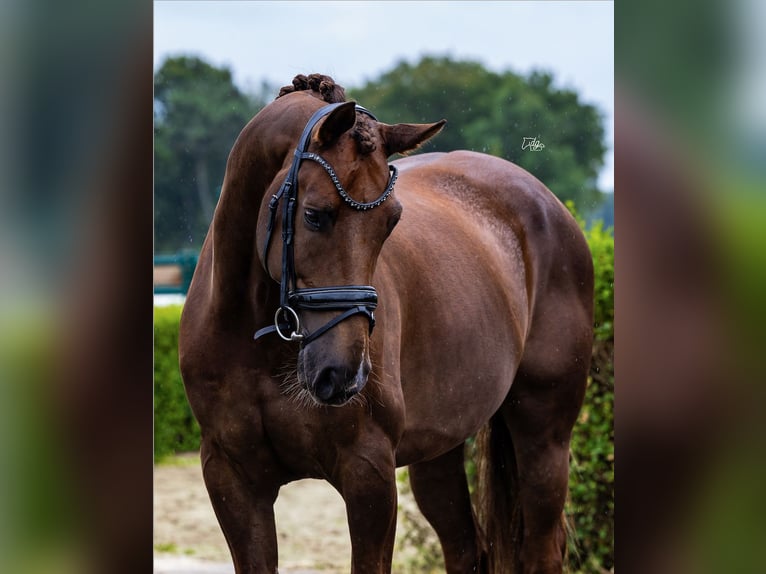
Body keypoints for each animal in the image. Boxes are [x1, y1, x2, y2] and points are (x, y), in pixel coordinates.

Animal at [178, 74, 592, 572]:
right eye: (314, 215)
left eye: (391, 222)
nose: (344, 375)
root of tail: (549, 205)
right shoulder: (232, 478)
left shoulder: (368, 473)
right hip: (439, 450)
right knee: (466, 547)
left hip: (544, 436)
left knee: (542, 548)